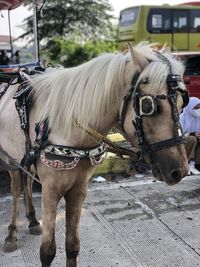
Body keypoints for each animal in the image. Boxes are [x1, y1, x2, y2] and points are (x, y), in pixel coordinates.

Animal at [0, 43, 189, 266]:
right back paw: (11, 233)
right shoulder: (50, 190)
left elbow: (72, 246)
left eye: (182, 104)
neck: (69, 127)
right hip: (11, 159)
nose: (180, 171)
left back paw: (31, 220)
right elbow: (47, 251)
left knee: (27, 182)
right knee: (16, 188)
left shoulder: (79, 188)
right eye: (149, 106)